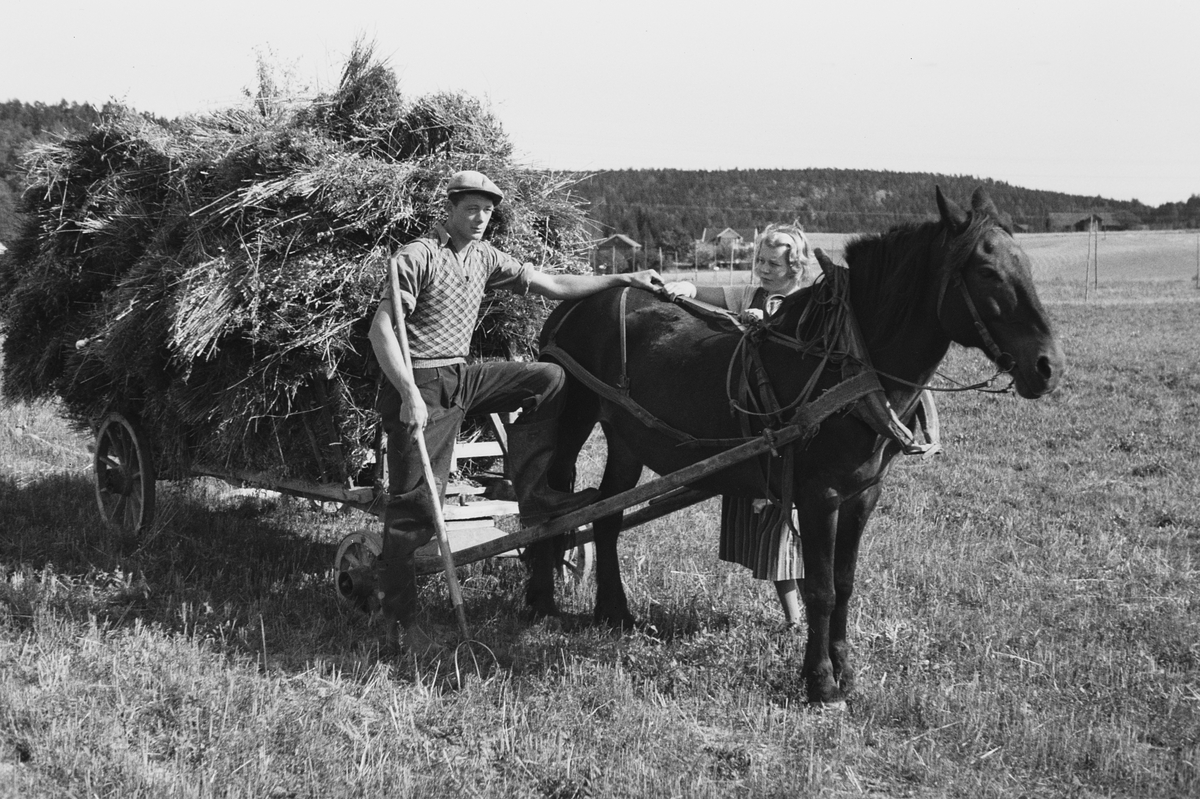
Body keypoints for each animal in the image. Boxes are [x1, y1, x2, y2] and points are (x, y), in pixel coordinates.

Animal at [523, 187, 1060, 705]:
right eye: (987, 271)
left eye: (1027, 266)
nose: (1048, 366)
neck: (847, 364)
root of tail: (572, 304)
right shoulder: (820, 494)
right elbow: (820, 589)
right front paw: (820, 683)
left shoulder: (864, 494)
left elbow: (844, 584)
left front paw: (845, 673)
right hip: (573, 420)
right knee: (550, 507)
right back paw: (541, 600)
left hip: (627, 440)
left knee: (606, 516)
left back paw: (613, 612)